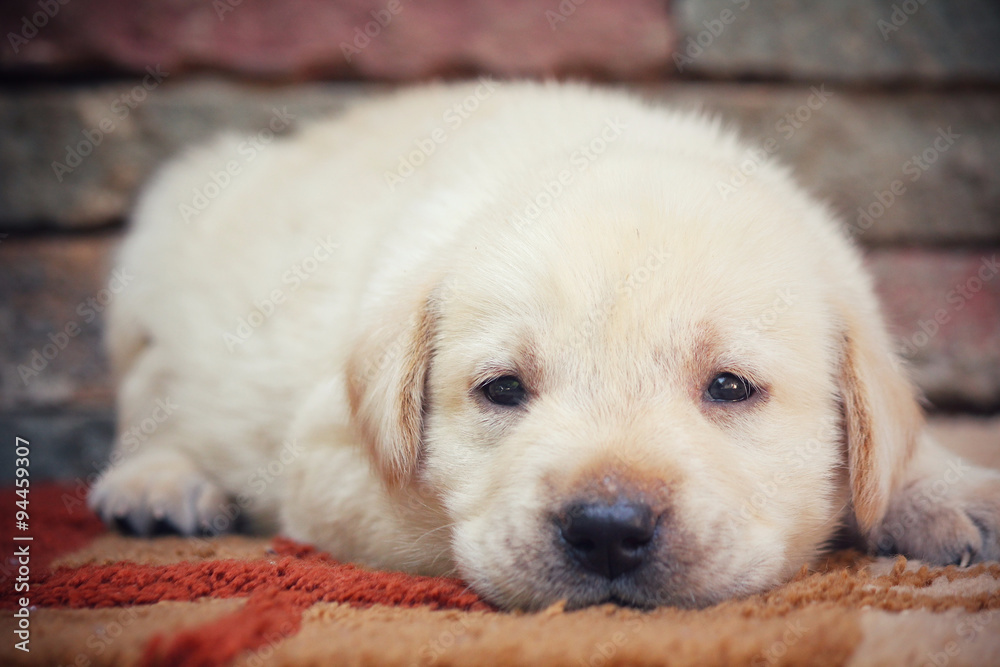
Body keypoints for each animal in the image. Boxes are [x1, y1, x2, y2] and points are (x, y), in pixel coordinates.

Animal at [90, 79, 1000, 612]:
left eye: (730, 387)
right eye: (502, 388)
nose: (607, 528)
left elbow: (896, 452)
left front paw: (946, 490)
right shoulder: (328, 459)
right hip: (152, 271)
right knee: (146, 399)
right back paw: (157, 481)